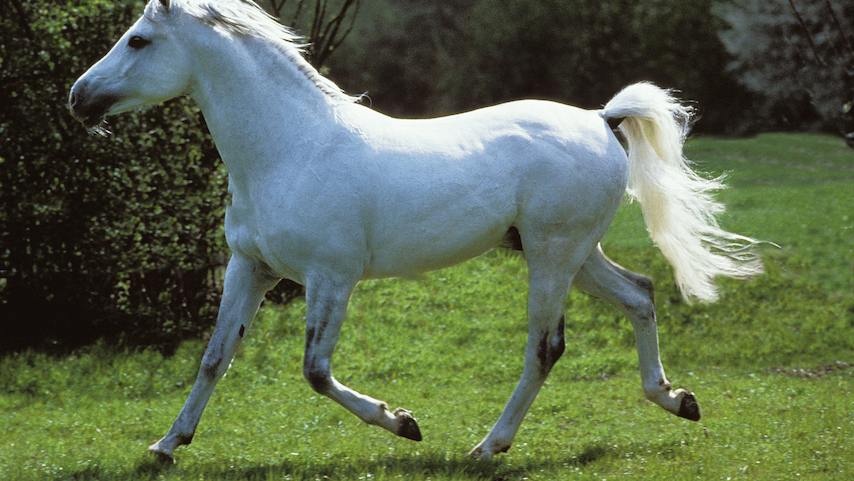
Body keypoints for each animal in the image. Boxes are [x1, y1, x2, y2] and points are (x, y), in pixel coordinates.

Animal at [69, 0, 762, 462]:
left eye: (138, 40)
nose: (78, 98)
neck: (290, 150)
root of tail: (601, 118)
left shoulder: (331, 277)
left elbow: (315, 370)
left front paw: (404, 423)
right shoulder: (251, 268)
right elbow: (214, 357)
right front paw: (166, 445)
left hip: (552, 254)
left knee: (546, 347)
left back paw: (487, 449)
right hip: (573, 253)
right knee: (641, 293)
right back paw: (677, 400)